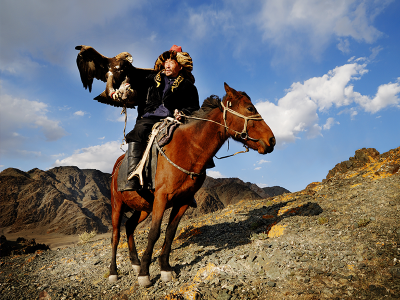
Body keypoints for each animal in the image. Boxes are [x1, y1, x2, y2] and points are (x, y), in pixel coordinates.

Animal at [109, 82, 276, 286]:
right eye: (250, 108)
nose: (271, 140)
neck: (188, 149)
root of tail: (117, 166)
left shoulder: (183, 201)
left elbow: (170, 232)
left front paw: (165, 269)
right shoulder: (161, 198)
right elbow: (154, 232)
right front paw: (144, 275)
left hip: (143, 208)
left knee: (129, 226)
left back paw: (135, 262)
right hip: (117, 205)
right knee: (115, 235)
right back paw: (113, 272)